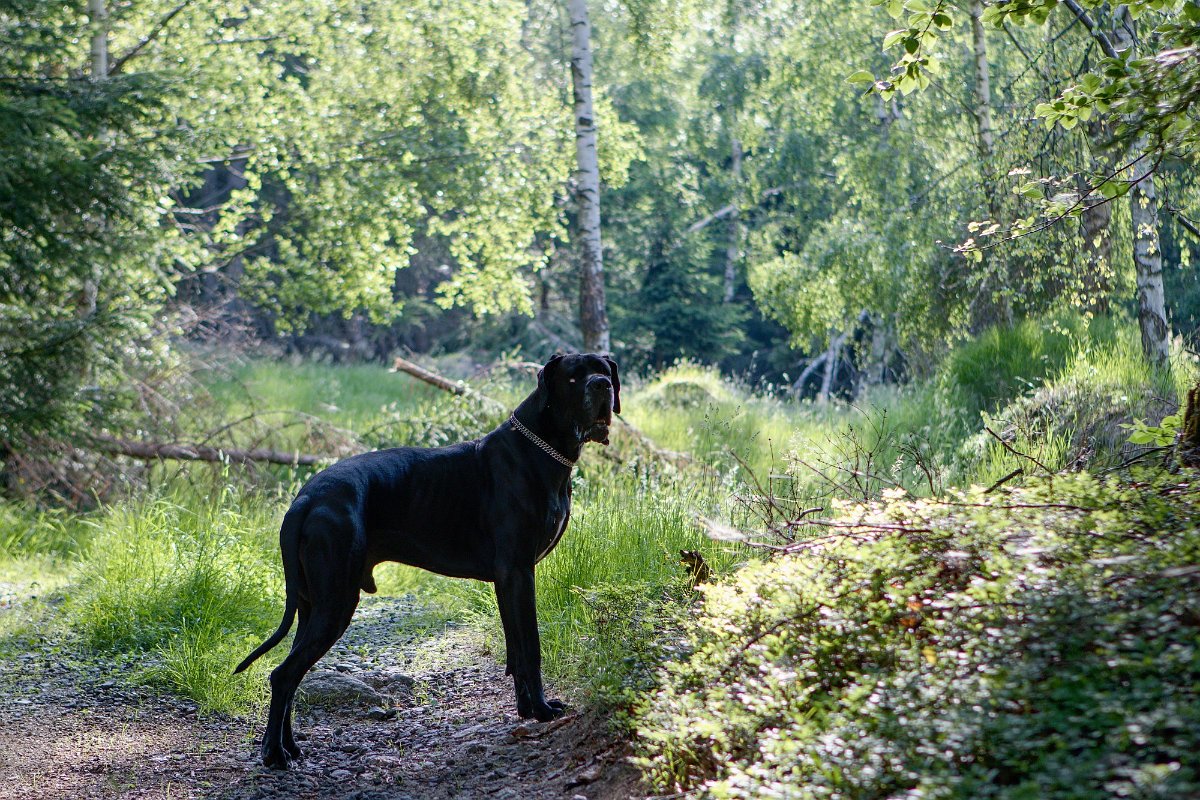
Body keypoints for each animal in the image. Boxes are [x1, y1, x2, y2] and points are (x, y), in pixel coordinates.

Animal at [234, 352, 619, 767]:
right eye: (573, 378)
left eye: (603, 370)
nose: (602, 386)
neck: (541, 447)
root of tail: (305, 499)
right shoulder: (519, 573)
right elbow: (530, 647)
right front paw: (543, 711)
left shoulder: (508, 581)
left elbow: (515, 650)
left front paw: (527, 710)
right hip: (335, 604)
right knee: (283, 675)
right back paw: (274, 754)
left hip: (311, 606)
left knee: (292, 674)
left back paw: (289, 746)